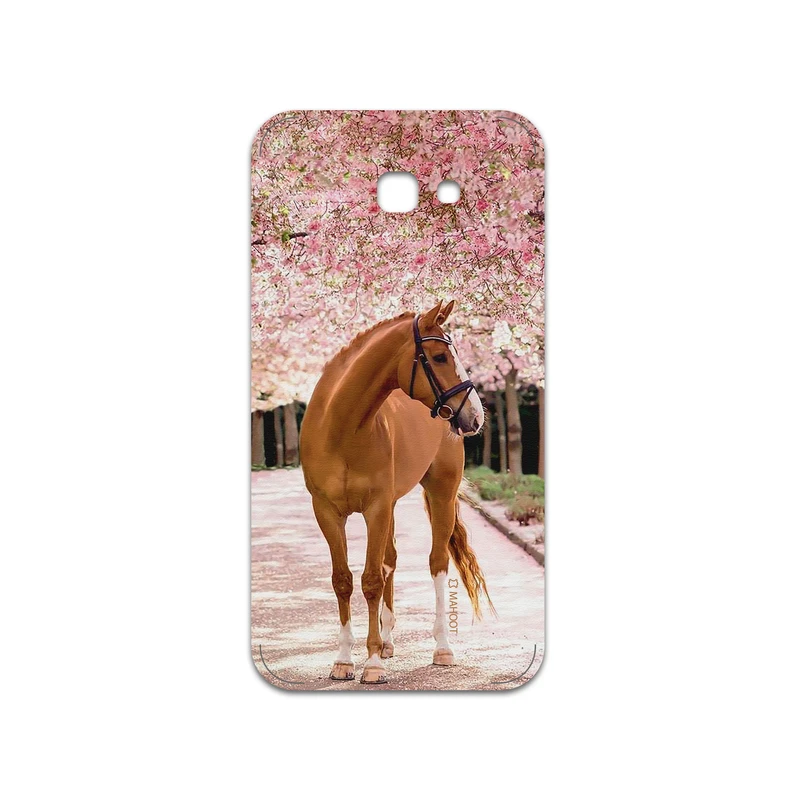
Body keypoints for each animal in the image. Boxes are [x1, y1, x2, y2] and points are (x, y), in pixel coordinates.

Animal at [299, 300, 492, 684]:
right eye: (439, 356)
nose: (476, 416)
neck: (341, 428)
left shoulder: (375, 508)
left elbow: (371, 580)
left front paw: (371, 664)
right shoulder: (327, 512)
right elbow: (343, 580)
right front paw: (344, 660)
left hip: (440, 492)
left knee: (436, 562)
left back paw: (442, 648)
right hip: (390, 506)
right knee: (390, 560)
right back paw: (387, 642)